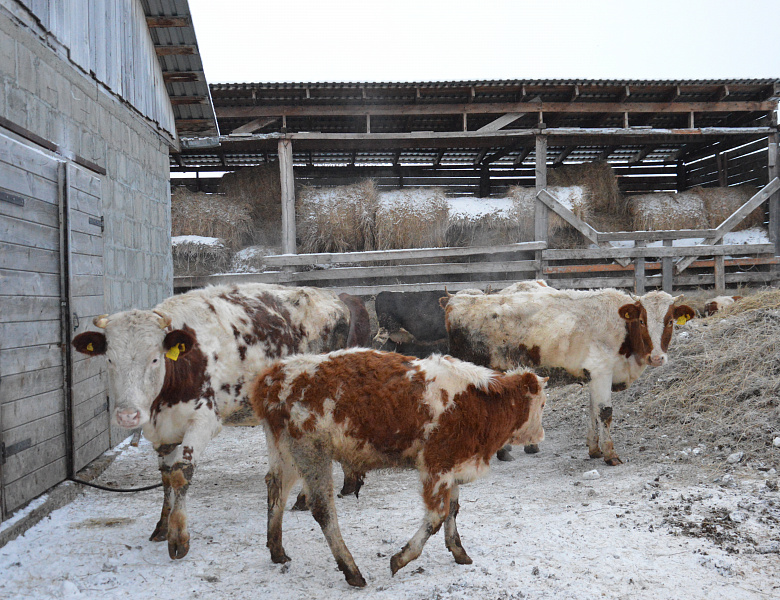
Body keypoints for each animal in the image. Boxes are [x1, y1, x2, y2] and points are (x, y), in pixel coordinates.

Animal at [70, 284, 368, 560]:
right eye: (110, 360)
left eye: (155, 358)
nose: (127, 415)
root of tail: (335, 297)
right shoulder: (163, 432)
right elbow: (166, 477)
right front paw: (162, 526)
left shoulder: (203, 421)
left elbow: (181, 473)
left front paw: (179, 538)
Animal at [253, 350, 544, 588]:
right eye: (541, 404)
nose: (540, 436)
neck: (477, 400)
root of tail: (272, 376)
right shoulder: (436, 465)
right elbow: (436, 516)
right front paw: (402, 558)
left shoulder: (453, 466)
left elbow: (452, 510)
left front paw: (458, 551)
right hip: (312, 454)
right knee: (323, 510)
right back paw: (351, 571)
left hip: (286, 454)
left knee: (275, 490)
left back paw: (277, 551)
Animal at [438, 288, 696, 466]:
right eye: (642, 321)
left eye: (670, 322)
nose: (657, 358)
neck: (623, 329)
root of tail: (459, 302)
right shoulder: (602, 371)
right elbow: (605, 413)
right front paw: (610, 455)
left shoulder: (594, 375)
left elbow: (592, 412)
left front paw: (595, 450)